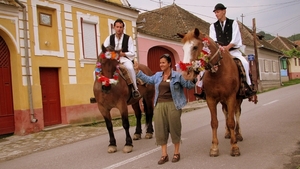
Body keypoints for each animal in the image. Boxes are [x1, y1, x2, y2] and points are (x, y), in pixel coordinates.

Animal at [178, 28, 244, 157]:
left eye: (194, 47)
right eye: (183, 49)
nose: (186, 74)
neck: (218, 72)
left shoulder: (231, 97)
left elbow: (231, 121)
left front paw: (234, 147)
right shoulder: (211, 99)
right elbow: (214, 122)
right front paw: (214, 147)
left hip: (237, 99)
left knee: (237, 113)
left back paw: (238, 134)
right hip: (223, 101)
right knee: (226, 113)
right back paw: (228, 133)